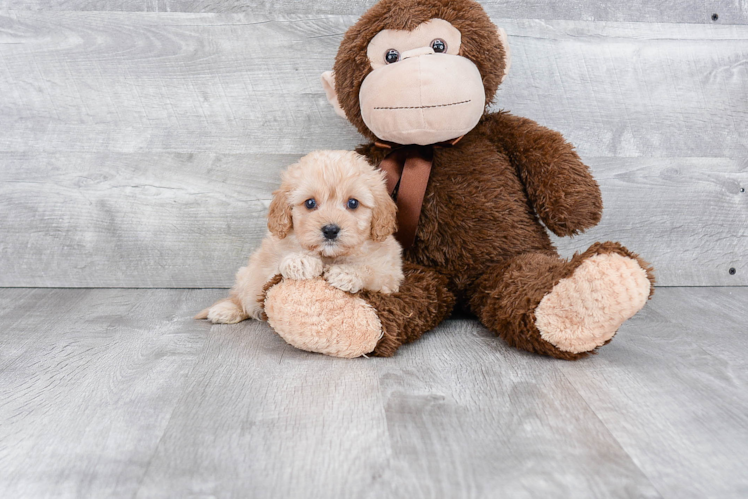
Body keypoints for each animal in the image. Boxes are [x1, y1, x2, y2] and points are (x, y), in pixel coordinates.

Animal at [194, 150, 404, 326]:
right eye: (310, 203)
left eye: (353, 203)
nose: (330, 230)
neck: (329, 256)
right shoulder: (269, 261)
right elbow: (276, 267)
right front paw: (300, 261)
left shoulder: (391, 274)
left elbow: (372, 271)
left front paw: (347, 273)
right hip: (247, 274)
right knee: (242, 295)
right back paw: (226, 309)